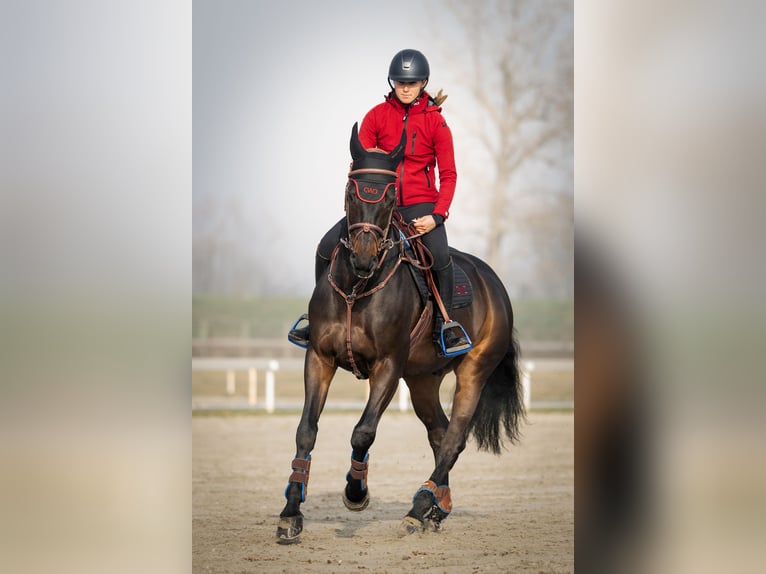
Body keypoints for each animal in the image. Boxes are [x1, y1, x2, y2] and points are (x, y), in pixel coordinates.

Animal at [277, 122, 525, 543]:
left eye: (391, 193)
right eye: (351, 189)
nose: (363, 257)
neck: (358, 289)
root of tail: (494, 282)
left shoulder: (388, 366)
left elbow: (362, 432)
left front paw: (356, 492)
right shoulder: (320, 359)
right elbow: (306, 430)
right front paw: (291, 513)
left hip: (472, 371)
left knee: (454, 437)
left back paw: (419, 506)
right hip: (423, 378)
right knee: (440, 433)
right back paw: (434, 507)